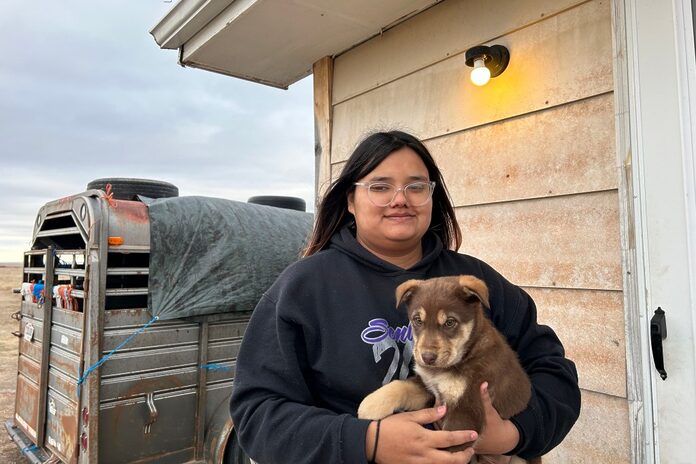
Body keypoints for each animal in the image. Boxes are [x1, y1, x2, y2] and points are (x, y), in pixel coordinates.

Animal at [358, 276, 540, 464]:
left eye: (450, 322)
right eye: (418, 320)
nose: (427, 358)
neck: (466, 353)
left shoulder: (467, 409)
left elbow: (448, 452)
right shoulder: (431, 389)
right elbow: (401, 385)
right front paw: (370, 405)